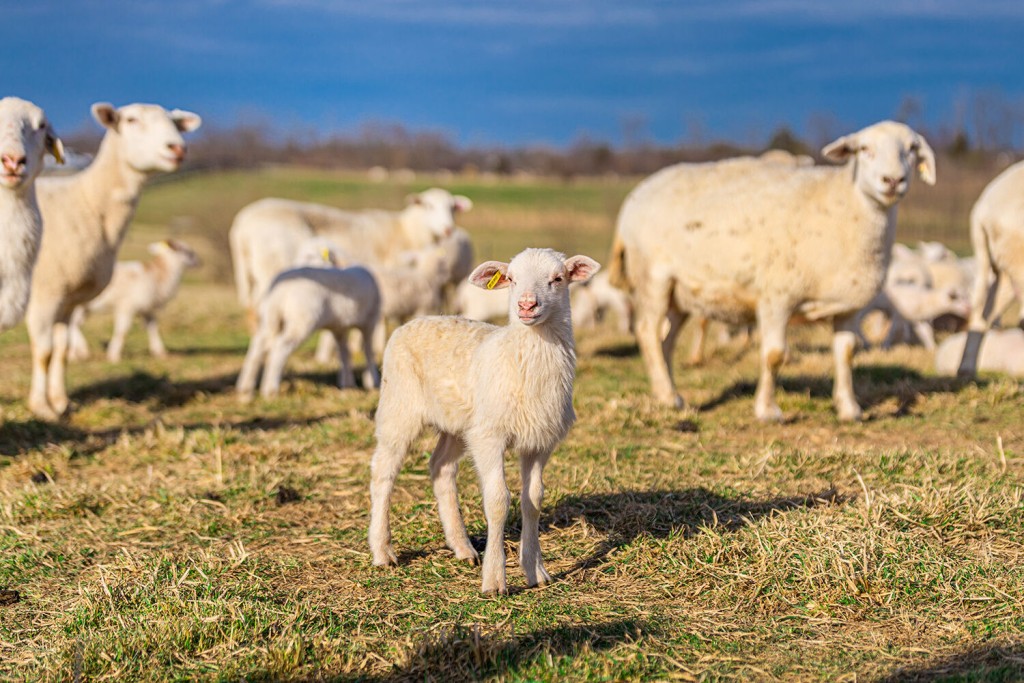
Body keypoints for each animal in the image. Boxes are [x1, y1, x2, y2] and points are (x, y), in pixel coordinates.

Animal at [66, 239, 201, 362]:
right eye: (188, 251)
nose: (200, 262)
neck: (158, 275)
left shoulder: (147, 309)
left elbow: (153, 328)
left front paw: (160, 352)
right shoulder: (128, 306)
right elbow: (122, 331)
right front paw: (114, 356)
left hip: (83, 308)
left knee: (74, 325)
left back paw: (75, 354)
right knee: (73, 325)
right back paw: (82, 350)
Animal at [229, 188, 472, 319]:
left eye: (453, 207)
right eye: (429, 206)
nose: (448, 229)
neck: (406, 230)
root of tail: (241, 225)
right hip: (273, 268)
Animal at [236, 265, 381, 400]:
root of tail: (281, 290)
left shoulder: (339, 328)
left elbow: (344, 353)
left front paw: (348, 383)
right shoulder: (370, 321)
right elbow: (368, 351)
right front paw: (373, 381)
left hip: (270, 318)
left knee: (257, 346)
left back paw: (245, 389)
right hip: (302, 319)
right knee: (280, 347)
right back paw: (270, 390)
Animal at [368, 248, 600, 594]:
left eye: (558, 279)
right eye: (512, 279)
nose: (526, 305)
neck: (521, 358)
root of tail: (418, 320)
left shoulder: (539, 441)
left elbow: (533, 500)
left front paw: (535, 571)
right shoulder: (490, 436)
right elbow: (498, 501)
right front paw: (494, 581)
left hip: (458, 423)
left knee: (441, 468)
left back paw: (463, 548)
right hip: (399, 406)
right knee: (383, 471)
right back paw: (383, 551)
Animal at [608, 121, 936, 421]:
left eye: (911, 149)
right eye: (864, 149)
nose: (893, 180)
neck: (843, 204)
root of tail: (639, 193)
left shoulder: (849, 308)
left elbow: (847, 352)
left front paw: (849, 409)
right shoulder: (776, 297)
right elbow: (775, 354)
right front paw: (768, 410)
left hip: (682, 293)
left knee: (665, 340)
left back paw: (667, 394)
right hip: (652, 278)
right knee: (647, 332)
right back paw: (668, 396)